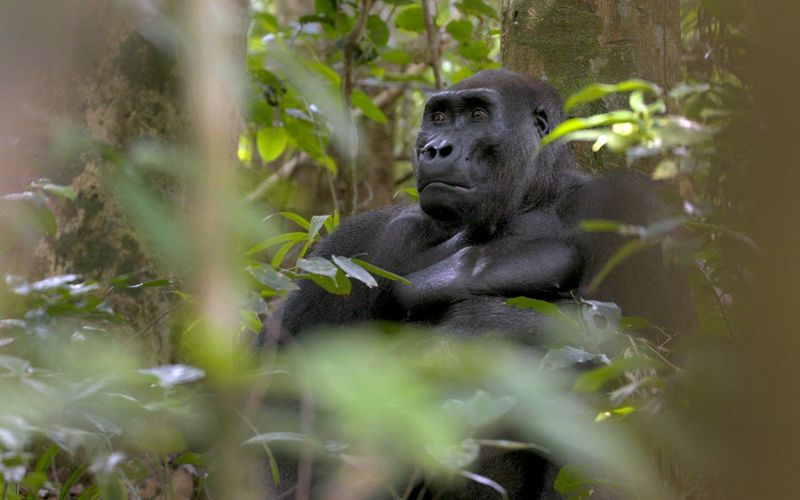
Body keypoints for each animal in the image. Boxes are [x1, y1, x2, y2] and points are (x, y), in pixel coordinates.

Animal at [278, 68, 692, 498]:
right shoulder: (363, 242)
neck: (532, 199)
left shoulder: (628, 203)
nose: (436, 149)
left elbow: (663, 357)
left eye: (478, 114)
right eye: (438, 118)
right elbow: (287, 387)